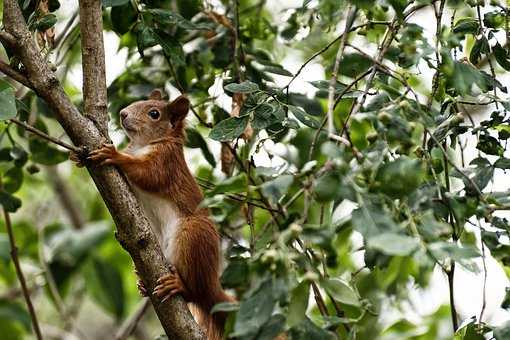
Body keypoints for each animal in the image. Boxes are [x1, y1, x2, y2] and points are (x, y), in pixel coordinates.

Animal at [84, 89, 233, 338]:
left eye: (154, 114)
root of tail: (212, 285)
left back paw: (180, 286)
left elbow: (148, 174)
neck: (142, 145)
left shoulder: (166, 161)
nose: (122, 114)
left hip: (192, 235)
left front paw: (115, 155)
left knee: (195, 293)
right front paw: (78, 157)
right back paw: (144, 284)